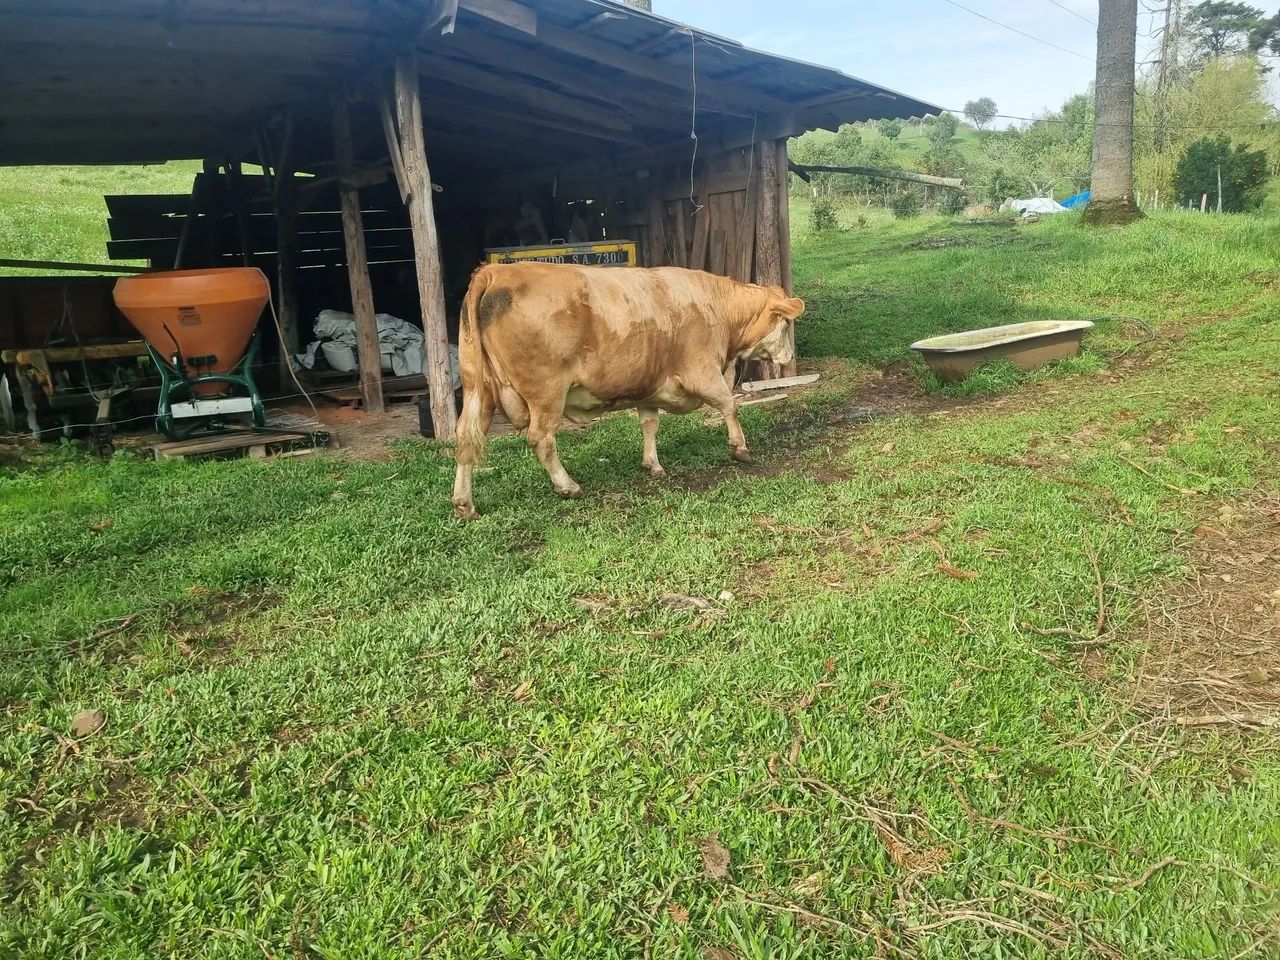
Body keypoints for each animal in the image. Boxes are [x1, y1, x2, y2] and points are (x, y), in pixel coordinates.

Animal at [451, 263, 805, 519]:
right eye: (787, 324)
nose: (789, 357)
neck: (717, 308)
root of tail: (496, 271)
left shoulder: (647, 387)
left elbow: (650, 424)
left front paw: (652, 464)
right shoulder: (702, 372)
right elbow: (730, 405)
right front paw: (740, 449)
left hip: (477, 389)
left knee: (466, 439)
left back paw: (464, 504)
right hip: (546, 392)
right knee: (541, 438)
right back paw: (568, 486)